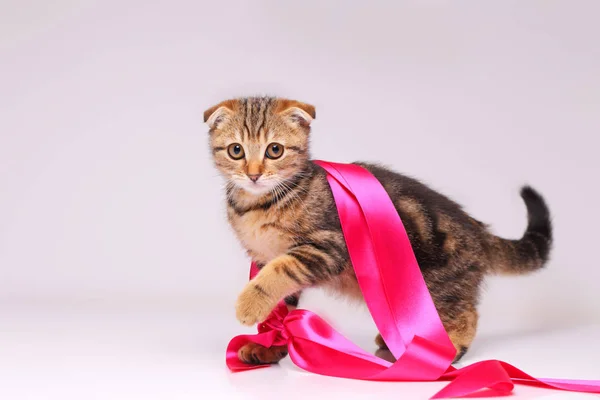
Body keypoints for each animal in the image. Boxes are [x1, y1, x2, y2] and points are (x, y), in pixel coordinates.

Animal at [205, 96, 552, 366]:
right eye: (236, 150)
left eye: (274, 150)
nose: (253, 174)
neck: (260, 204)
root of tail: (477, 229)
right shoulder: (264, 258)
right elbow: (280, 313)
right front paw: (269, 346)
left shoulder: (325, 246)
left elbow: (279, 272)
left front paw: (250, 303)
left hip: (440, 284)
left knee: (465, 314)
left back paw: (446, 350)